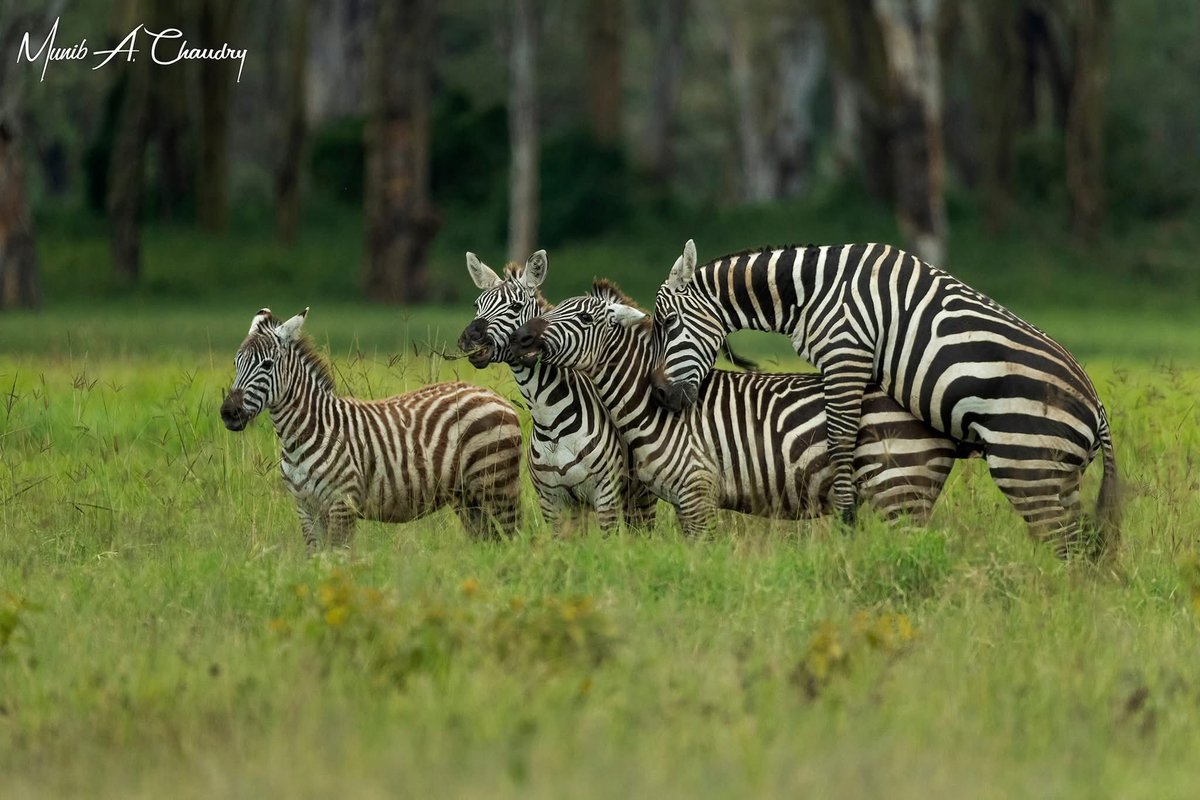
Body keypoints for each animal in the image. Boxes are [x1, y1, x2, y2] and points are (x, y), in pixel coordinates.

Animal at [220, 307, 522, 550]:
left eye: (267, 364)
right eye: (236, 363)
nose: (228, 413)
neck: (305, 432)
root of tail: (494, 395)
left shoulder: (341, 504)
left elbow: (338, 559)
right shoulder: (305, 507)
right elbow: (316, 560)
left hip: (496, 485)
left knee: (513, 541)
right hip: (468, 496)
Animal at [457, 250, 657, 531]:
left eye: (515, 307)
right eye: (477, 305)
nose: (469, 339)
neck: (550, 421)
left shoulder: (605, 493)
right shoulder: (551, 501)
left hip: (640, 494)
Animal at [507, 281, 963, 535]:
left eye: (584, 318)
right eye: (552, 309)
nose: (521, 339)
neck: (651, 409)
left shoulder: (697, 493)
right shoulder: (683, 503)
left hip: (899, 489)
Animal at [650, 239, 1120, 558]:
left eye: (667, 324)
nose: (659, 394)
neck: (811, 290)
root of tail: (1097, 408)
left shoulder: (845, 354)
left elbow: (839, 440)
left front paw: (846, 523)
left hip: (1025, 464)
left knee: (1066, 543)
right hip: (1059, 477)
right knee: (1081, 544)